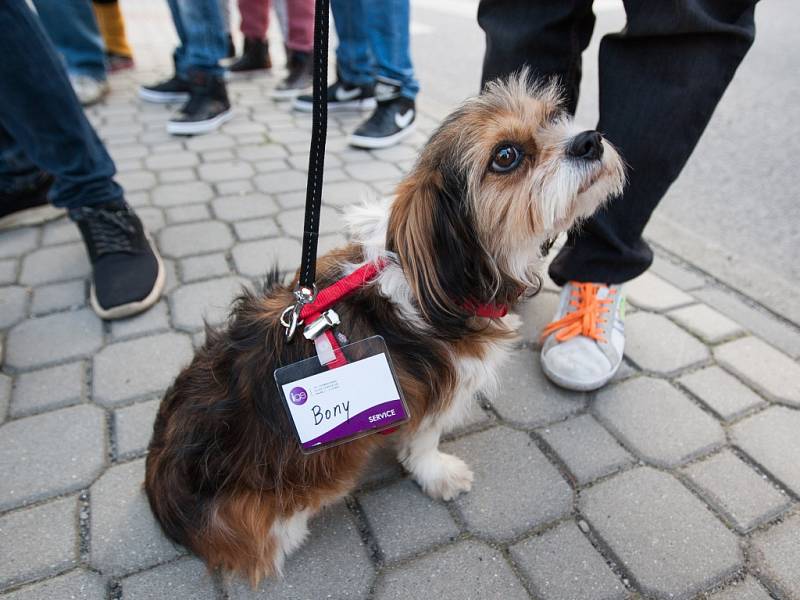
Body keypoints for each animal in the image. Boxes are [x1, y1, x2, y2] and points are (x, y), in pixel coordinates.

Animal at [147, 72, 628, 584]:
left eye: (554, 116)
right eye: (506, 156)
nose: (590, 139)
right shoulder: (439, 393)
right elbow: (424, 440)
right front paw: (437, 473)